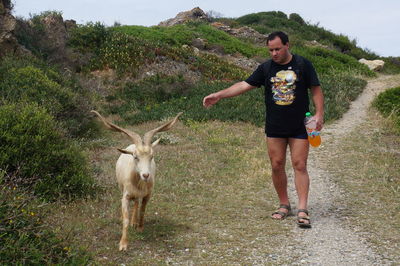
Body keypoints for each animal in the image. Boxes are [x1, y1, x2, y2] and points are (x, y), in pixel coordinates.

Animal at [91, 110, 183, 251]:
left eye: (152, 156)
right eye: (135, 157)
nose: (146, 175)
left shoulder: (148, 194)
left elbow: (143, 209)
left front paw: (139, 227)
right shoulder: (125, 195)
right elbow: (125, 219)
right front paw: (123, 244)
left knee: (137, 202)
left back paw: (135, 221)